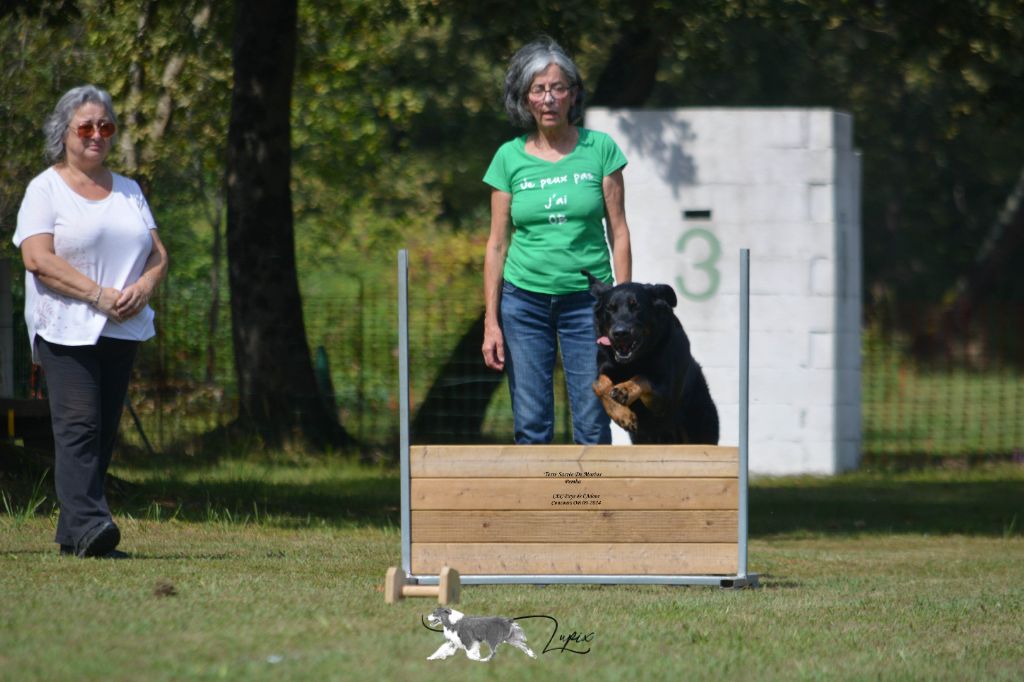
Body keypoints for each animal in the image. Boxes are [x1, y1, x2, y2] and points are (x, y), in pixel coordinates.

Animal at [585, 268, 720, 444]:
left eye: (636, 307)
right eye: (610, 308)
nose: (620, 333)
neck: (633, 361)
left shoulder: (663, 396)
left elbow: (642, 377)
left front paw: (624, 390)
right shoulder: (606, 368)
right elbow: (598, 384)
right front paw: (623, 415)